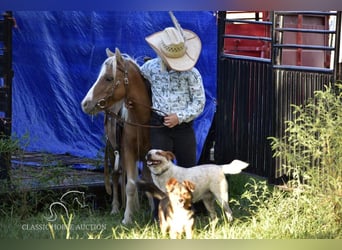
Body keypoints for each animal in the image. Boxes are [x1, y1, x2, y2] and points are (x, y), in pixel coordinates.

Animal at [81, 47, 152, 225]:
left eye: (108, 78)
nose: (85, 103)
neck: (141, 120)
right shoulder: (127, 152)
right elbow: (130, 185)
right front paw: (127, 218)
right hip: (114, 151)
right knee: (115, 176)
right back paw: (115, 208)